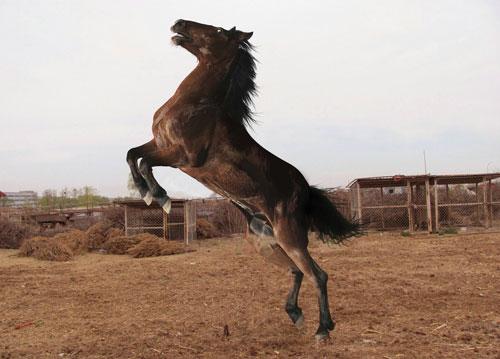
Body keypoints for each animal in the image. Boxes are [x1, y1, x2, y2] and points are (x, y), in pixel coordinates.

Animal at [127, 19, 358, 340]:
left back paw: (323, 329)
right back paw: (295, 313)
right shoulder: (159, 144)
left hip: (289, 237)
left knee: (318, 274)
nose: (178, 23)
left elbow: (145, 162)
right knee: (298, 271)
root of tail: (304, 191)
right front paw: (146, 192)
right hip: (266, 244)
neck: (197, 103)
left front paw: (159, 197)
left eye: (219, 31)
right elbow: (133, 154)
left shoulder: (184, 157)